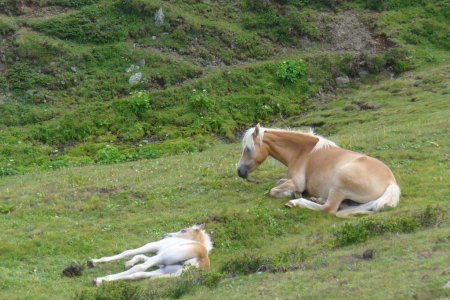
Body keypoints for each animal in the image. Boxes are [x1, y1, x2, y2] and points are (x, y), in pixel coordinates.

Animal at [237, 124, 400, 218]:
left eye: (248, 149)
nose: (239, 171)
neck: (303, 152)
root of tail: (391, 183)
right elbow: (279, 181)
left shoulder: (297, 182)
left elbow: (273, 190)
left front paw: (293, 194)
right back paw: (316, 198)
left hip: (340, 181)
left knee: (329, 209)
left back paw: (296, 202)